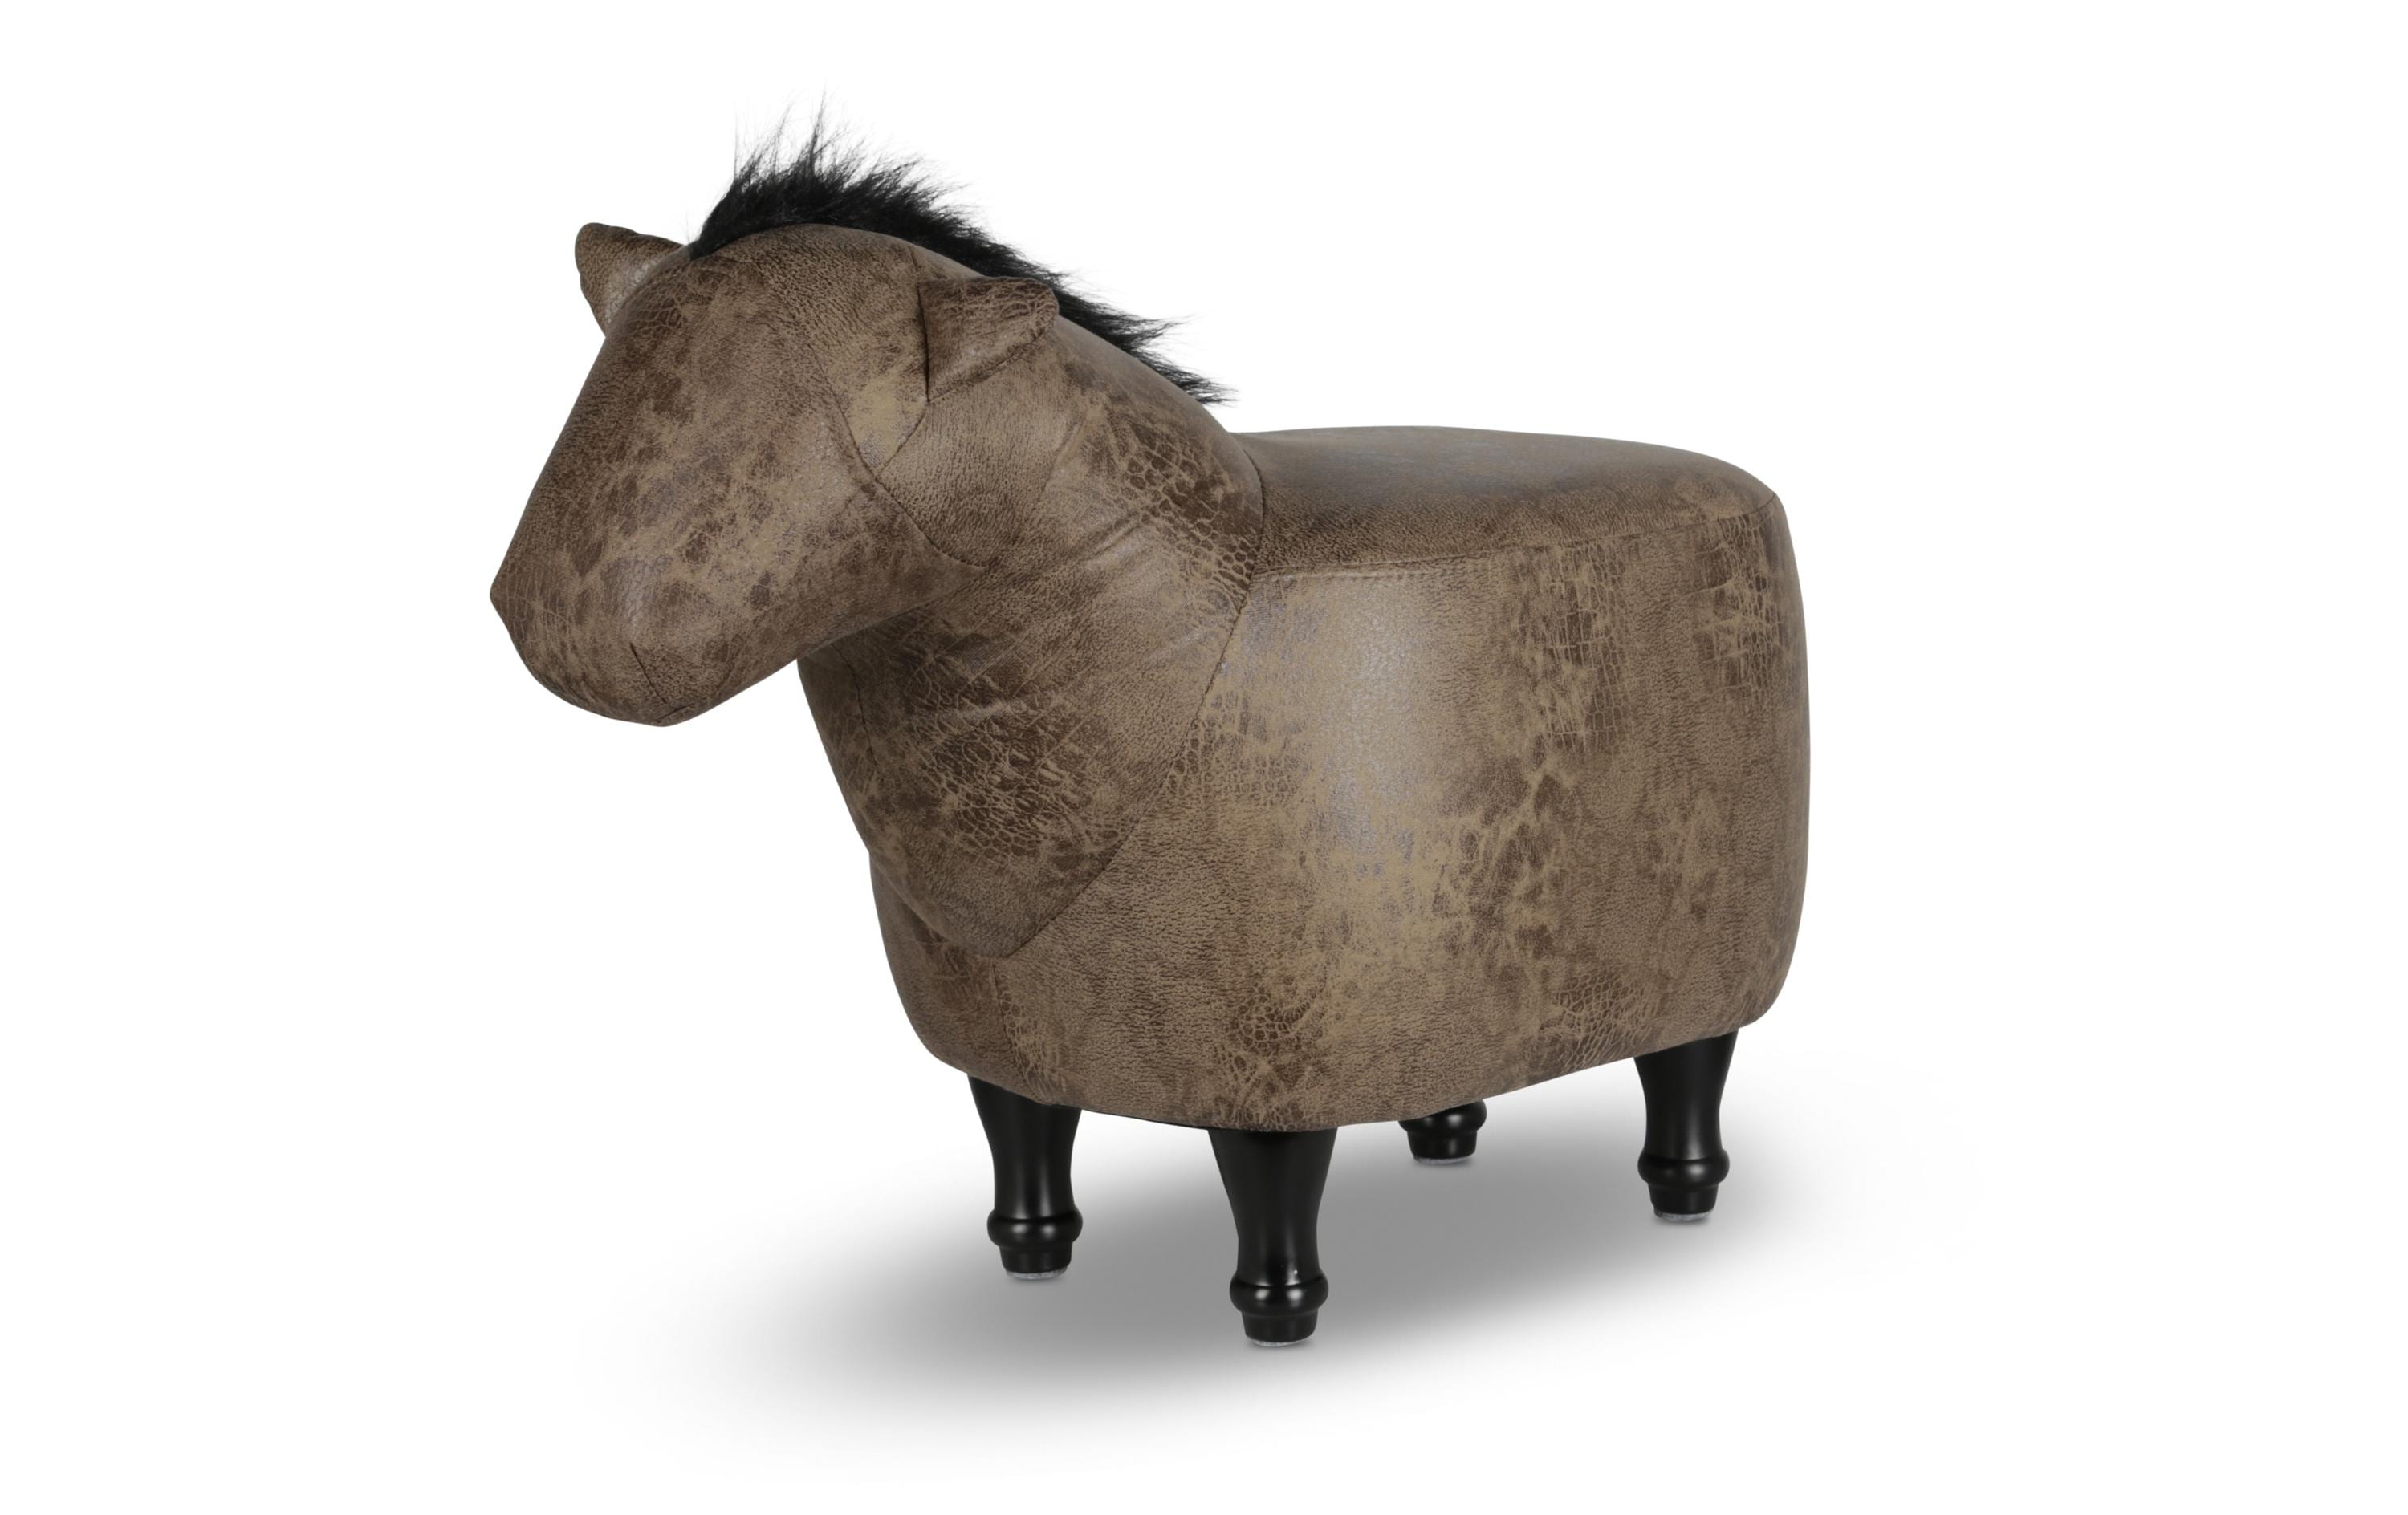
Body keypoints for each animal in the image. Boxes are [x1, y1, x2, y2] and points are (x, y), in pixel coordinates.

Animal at [492, 128, 1809, 1345]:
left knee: (1690, 1072)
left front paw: (1279, 1313)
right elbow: (1020, 1134)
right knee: (1453, 1072)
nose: (546, 615)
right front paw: (1032, 1255)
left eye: (799, 414)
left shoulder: (1266, 1060)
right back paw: (1444, 1133)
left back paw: (1683, 1193)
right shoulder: (1017, 1029)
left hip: (1707, 968)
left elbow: (1271, 1182)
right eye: (612, 375)